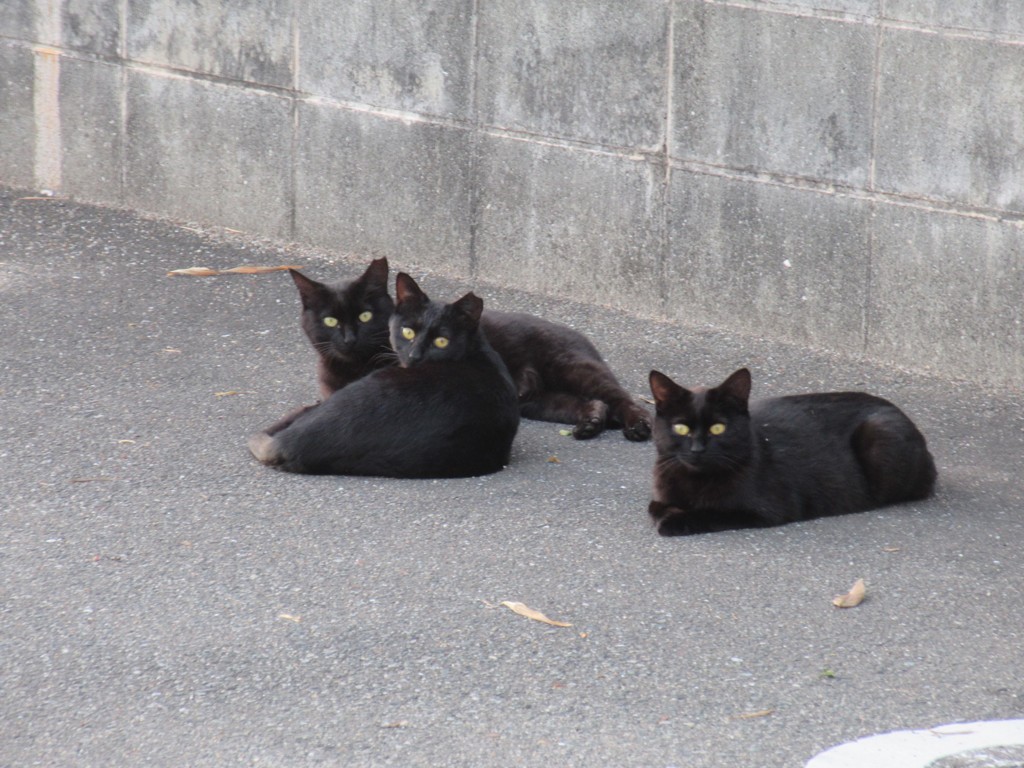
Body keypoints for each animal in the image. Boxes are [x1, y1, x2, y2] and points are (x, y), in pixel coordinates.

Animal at [647, 370, 937, 536]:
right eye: (681, 428)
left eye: (718, 428)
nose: (698, 448)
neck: (694, 481)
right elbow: (655, 506)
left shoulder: (764, 510)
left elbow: (710, 513)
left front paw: (675, 521)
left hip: (880, 435)